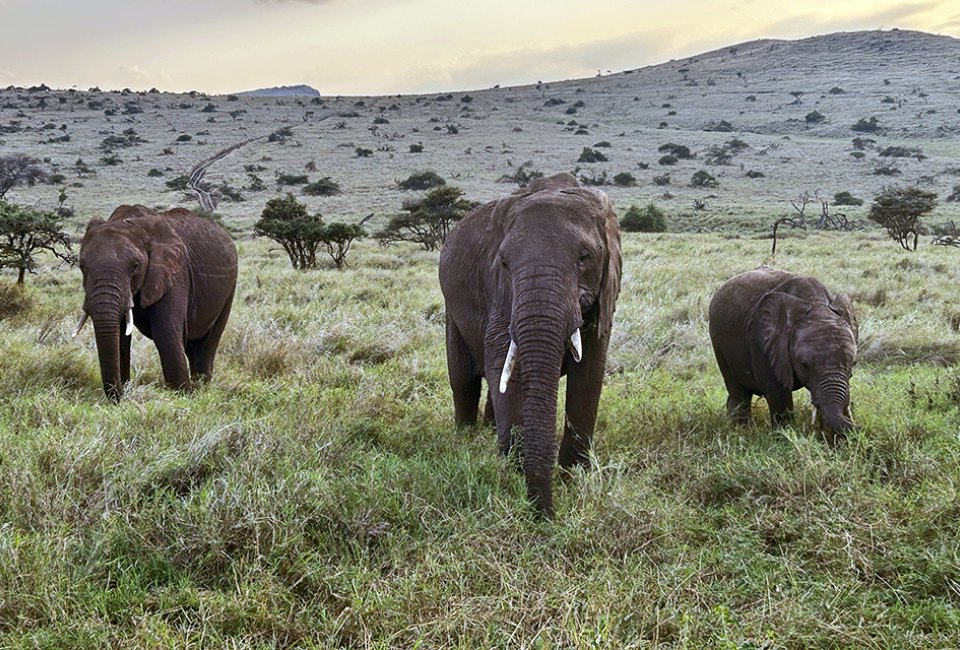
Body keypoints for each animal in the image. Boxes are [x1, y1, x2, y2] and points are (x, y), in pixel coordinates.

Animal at [75, 206, 238, 400]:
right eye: (82, 266)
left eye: (135, 266)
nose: (118, 399)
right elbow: (120, 335)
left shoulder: (175, 273)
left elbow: (165, 331)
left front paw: (183, 397)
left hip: (230, 287)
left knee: (207, 343)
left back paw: (201, 390)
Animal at [440, 172, 624, 516]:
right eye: (504, 263)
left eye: (584, 258)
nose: (547, 516)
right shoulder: (499, 291)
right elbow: (503, 357)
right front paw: (514, 471)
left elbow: (589, 373)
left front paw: (571, 477)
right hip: (451, 311)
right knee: (465, 380)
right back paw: (466, 438)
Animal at [708, 264, 860, 440]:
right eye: (804, 365)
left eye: (852, 364)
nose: (859, 428)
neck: (817, 305)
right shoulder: (763, 342)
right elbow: (779, 395)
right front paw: (784, 438)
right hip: (717, 337)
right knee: (739, 393)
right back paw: (740, 432)